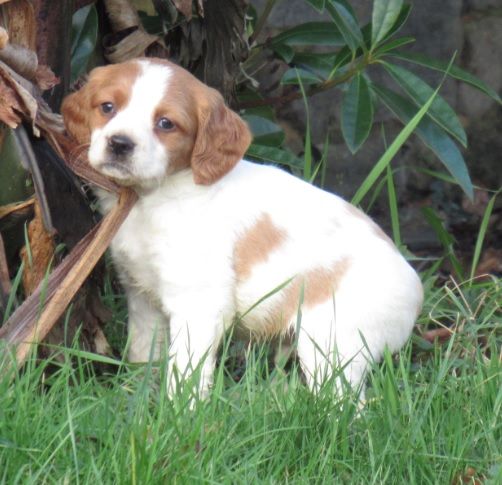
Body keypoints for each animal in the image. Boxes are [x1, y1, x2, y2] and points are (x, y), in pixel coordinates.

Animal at [62, 58, 423, 398]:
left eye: (166, 124)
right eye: (107, 107)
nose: (119, 143)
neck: (152, 198)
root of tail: (416, 291)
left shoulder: (199, 303)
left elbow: (186, 372)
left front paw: (180, 411)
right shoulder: (141, 297)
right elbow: (143, 352)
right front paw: (137, 399)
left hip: (332, 345)